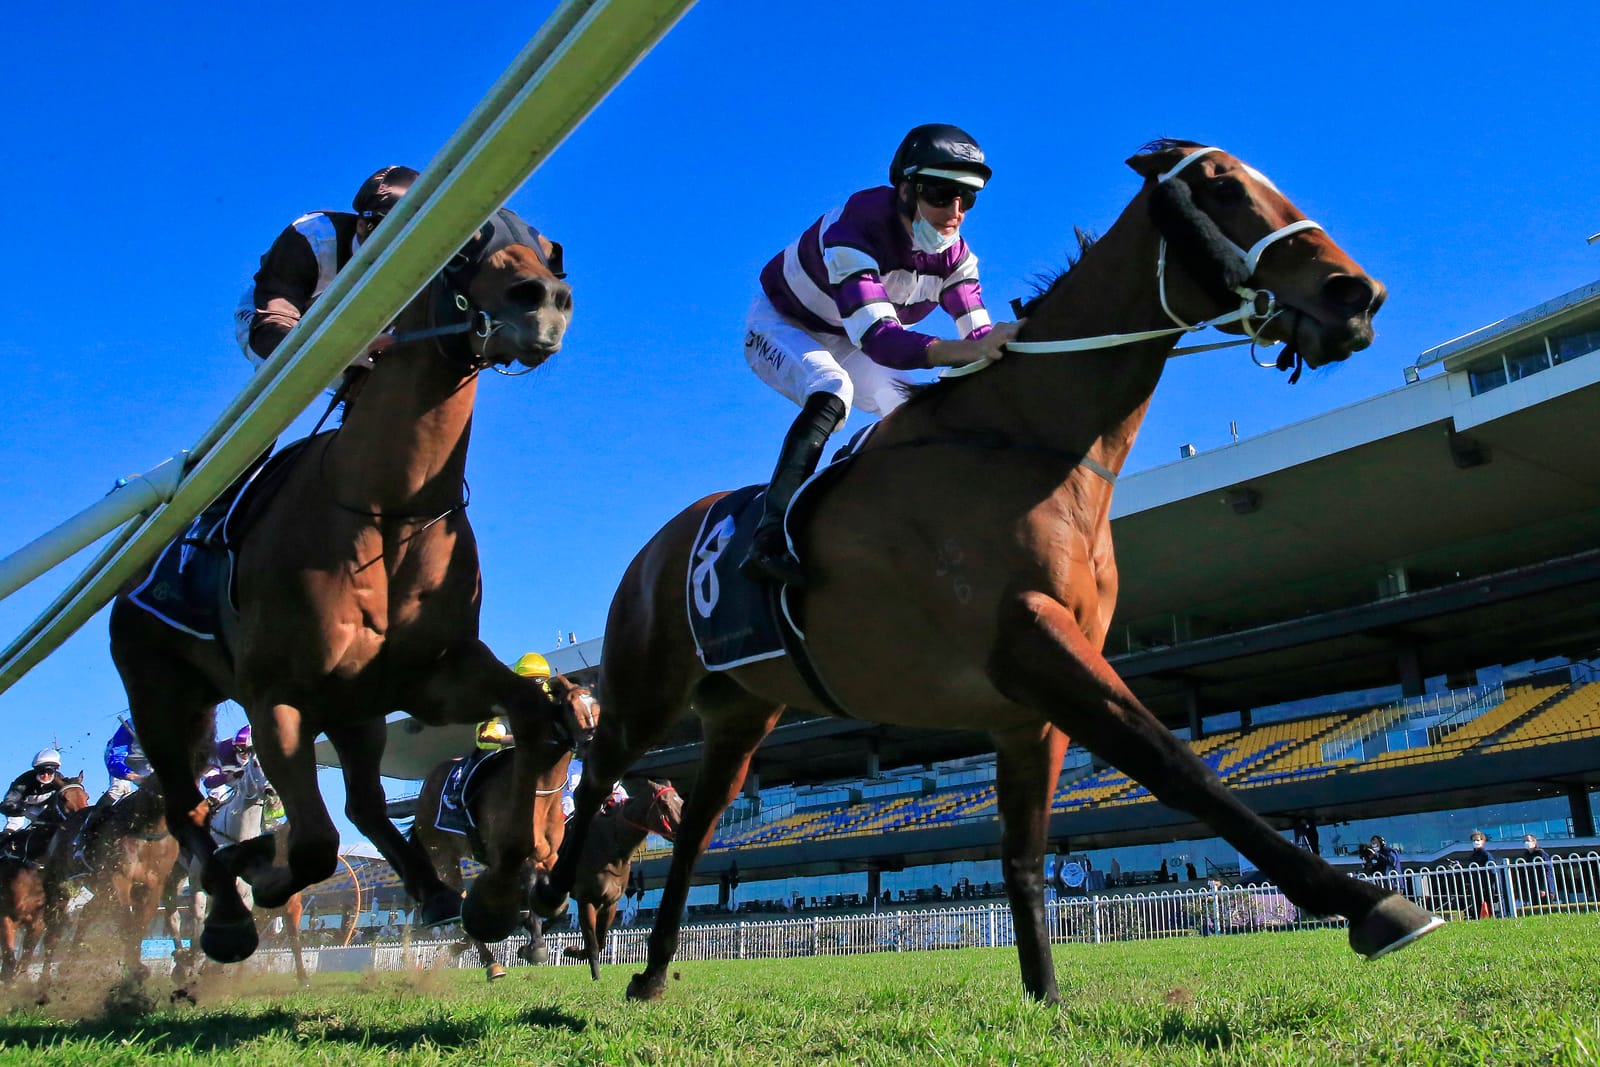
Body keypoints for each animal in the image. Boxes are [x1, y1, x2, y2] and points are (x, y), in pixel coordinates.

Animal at [36, 777, 179, 991]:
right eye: (63, 798)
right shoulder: (118, 879)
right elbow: (127, 924)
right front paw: (134, 970)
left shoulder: (152, 886)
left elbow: (139, 926)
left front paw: (135, 970)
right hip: (61, 885)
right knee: (53, 933)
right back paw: (44, 982)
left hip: (100, 891)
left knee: (86, 913)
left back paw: (68, 967)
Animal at [406, 675, 595, 985]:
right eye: (569, 705)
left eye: (598, 705)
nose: (592, 740)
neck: (540, 793)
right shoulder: (512, 854)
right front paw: (535, 945)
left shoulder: (549, 854)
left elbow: (558, 904)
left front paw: (530, 940)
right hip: (443, 854)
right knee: (460, 904)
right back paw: (491, 962)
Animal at [560, 780, 678, 979]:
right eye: (665, 805)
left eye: (681, 801)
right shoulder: (586, 900)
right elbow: (592, 944)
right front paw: (595, 976)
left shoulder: (610, 902)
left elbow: (599, 942)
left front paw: (573, 950)